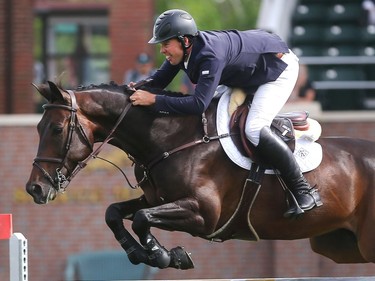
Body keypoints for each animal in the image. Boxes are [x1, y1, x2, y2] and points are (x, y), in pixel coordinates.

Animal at [25, 81, 375, 270]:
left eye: (56, 129)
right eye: (39, 128)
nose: (35, 189)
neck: (170, 138)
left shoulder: (204, 214)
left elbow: (140, 218)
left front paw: (165, 256)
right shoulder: (159, 198)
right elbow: (116, 213)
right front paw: (141, 253)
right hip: (342, 247)